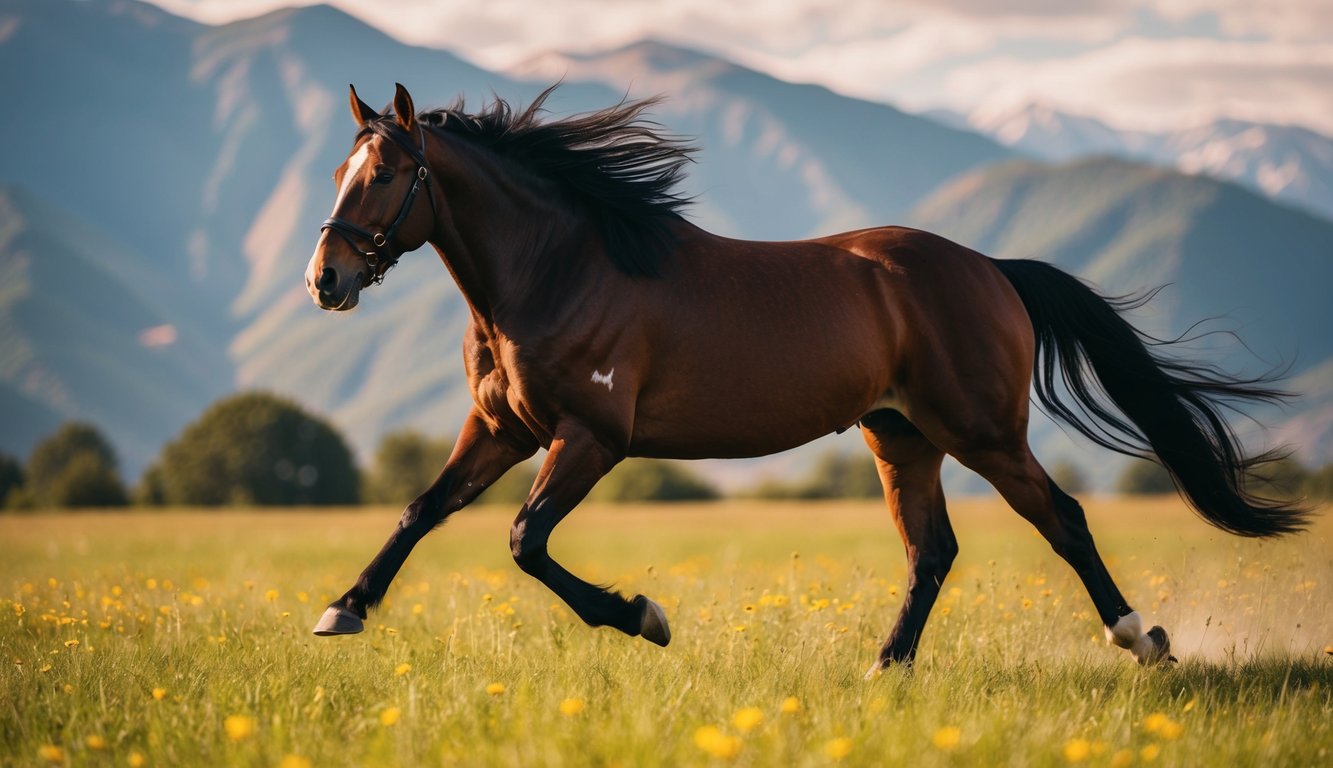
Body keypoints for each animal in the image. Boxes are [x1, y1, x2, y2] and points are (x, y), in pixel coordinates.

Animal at [299, 84, 1301, 672]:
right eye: (340, 166)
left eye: (383, 173)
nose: (326, 280)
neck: (561, 270)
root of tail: (989, 267)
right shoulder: (500, 430)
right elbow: (420, 511)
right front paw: (342, 611)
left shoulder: (590, 440)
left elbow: (523, 542)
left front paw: (644, 616)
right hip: (902, 439)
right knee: (932, 553)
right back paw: (885, 668)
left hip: (981, 433)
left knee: (1062, 519)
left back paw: (1142, 639)